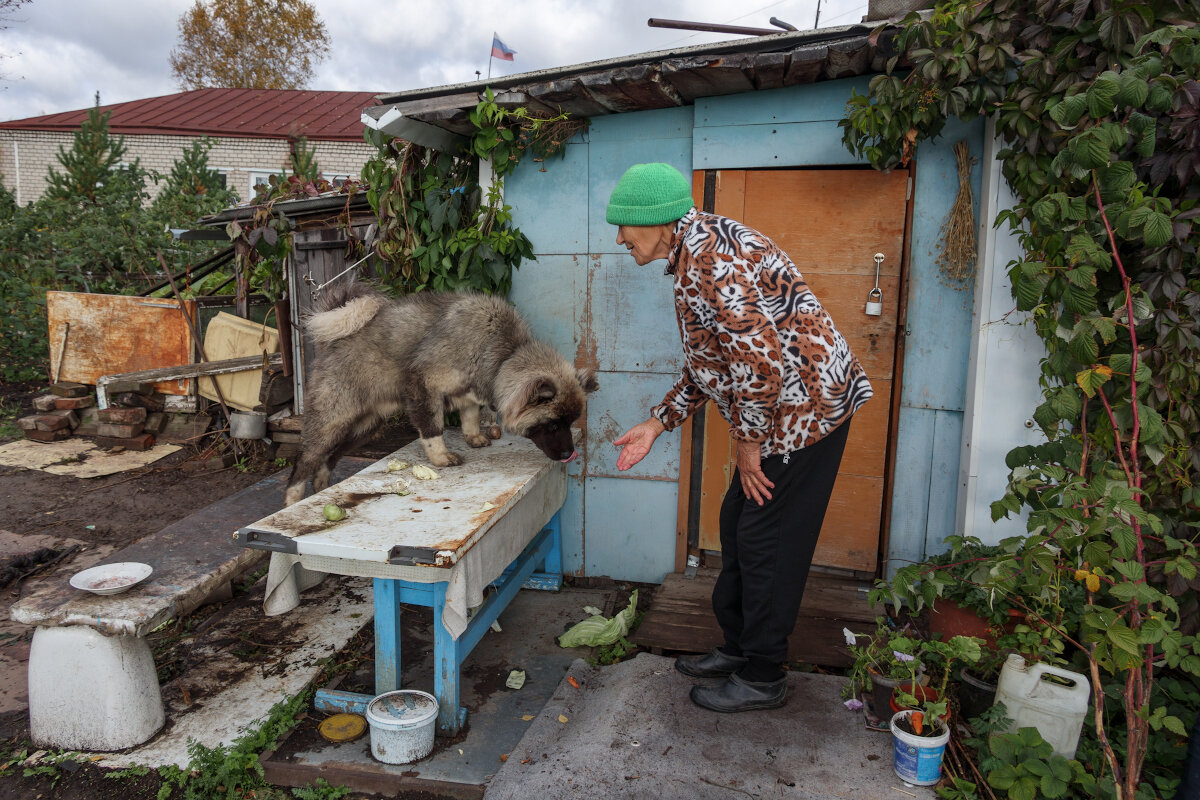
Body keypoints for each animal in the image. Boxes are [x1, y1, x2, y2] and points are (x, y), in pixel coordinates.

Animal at [282, 283, 600, 506]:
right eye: (553, 425)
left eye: (569, 423)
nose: (569, 454)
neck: (503, 354)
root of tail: (333, 342)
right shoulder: (424, 385)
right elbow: (432, 430)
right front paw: (441, 457)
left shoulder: (470, 393)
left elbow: (469, 417)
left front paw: (473, 437)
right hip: (331, 422)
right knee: (304, 460)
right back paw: (292, 499)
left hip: (363, 427)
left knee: (327, 460)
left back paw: (320, 489)